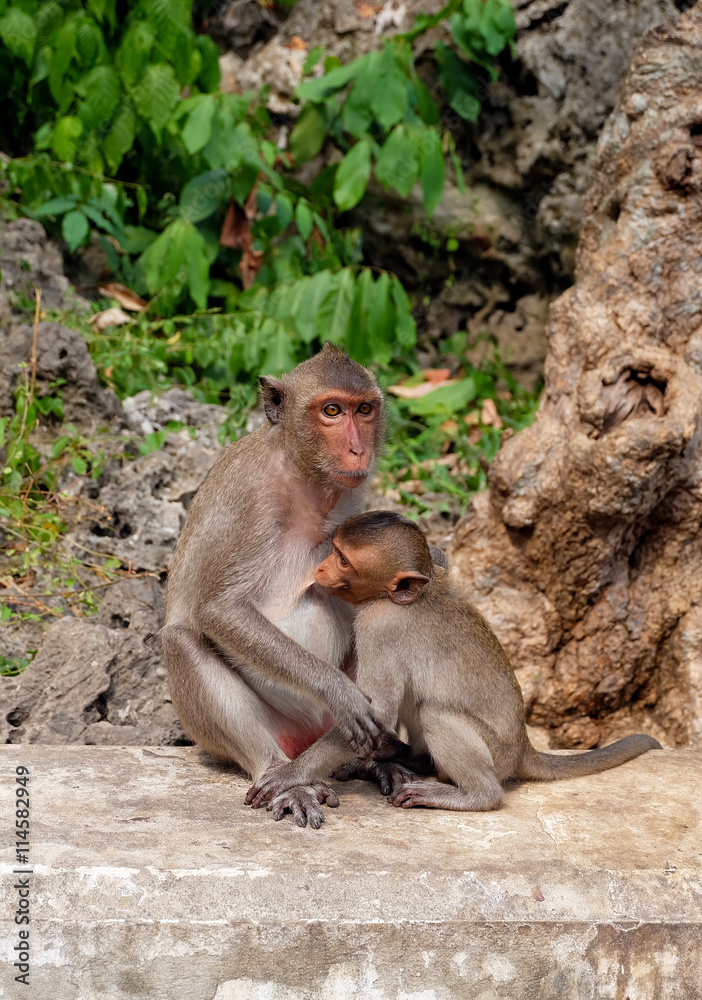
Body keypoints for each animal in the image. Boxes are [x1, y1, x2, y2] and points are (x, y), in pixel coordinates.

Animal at [161, 344, 384, 828]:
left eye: (364, 409)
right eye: (332, 411)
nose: (358, 448)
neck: (303, 475)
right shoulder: (252, 498)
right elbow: (221, 610)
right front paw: (338, 690)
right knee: (182, 639)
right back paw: (283, 775)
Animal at [310, 512, 660, 808]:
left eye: (342, 560)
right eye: (335, 551)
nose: (320, 569)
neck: (393, 597)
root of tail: (522, 747)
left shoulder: (378, 624)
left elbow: (377, 710)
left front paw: (297, 775)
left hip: (497, 755)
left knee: (436, 712)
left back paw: (475, 795)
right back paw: (411, 758)